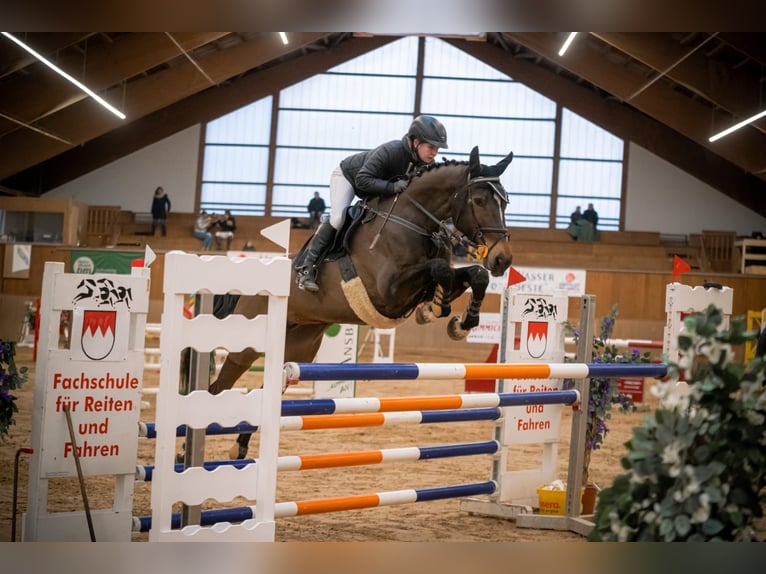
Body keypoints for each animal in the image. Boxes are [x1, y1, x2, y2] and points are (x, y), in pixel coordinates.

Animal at [206, 146, 516, 462]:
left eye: (505, 202)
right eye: (478, 201)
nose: (502, 259)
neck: (411, 223)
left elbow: (472, 275)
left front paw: (456, 320)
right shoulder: (390, 293)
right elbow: (440, 267)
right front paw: (438, 311)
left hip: (298, 345)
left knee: (268, 389)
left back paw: (239, 447)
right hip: (246, 347)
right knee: (218, 387)